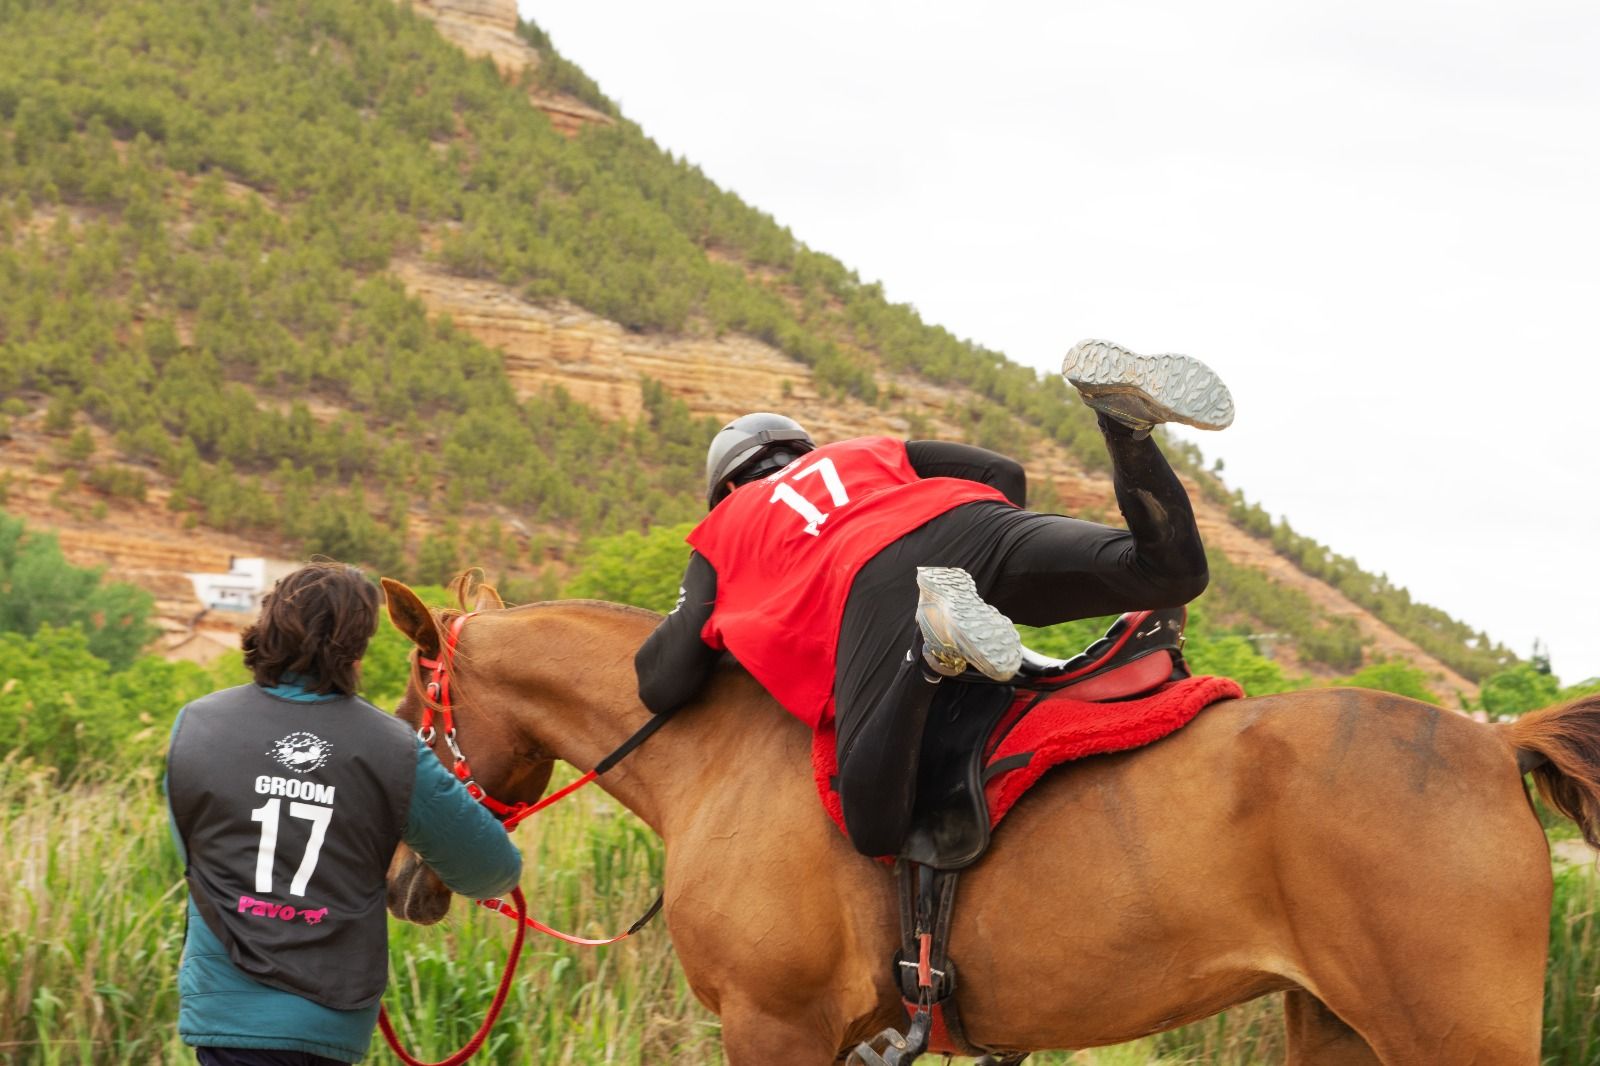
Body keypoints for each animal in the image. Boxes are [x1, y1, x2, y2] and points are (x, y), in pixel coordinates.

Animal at [380, 582, 1600, 1062]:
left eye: (406, 705)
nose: (398, 878)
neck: (716, 753)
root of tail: (1493, 740)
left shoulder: (775, 1030)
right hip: (1339, 1029)